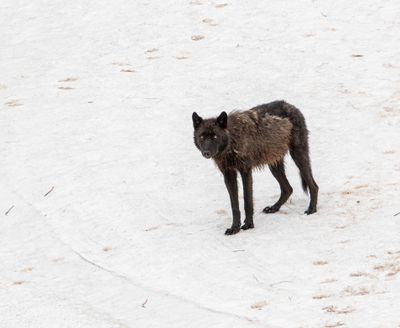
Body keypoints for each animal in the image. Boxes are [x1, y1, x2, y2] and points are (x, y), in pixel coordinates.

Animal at [192, 99, 320, 233]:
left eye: (215, 136)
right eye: (202, 136)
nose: (206, 153)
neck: (233, 141)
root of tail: (291, 105)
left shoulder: (245, 171)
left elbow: (247, 201)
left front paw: (248, 224)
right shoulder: (228, 175)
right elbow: (234, 205)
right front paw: (234, 228)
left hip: (298, 157)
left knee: (314, 186)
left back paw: (311, 209)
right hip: (274, 165)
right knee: (288, 189)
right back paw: (274, 208)